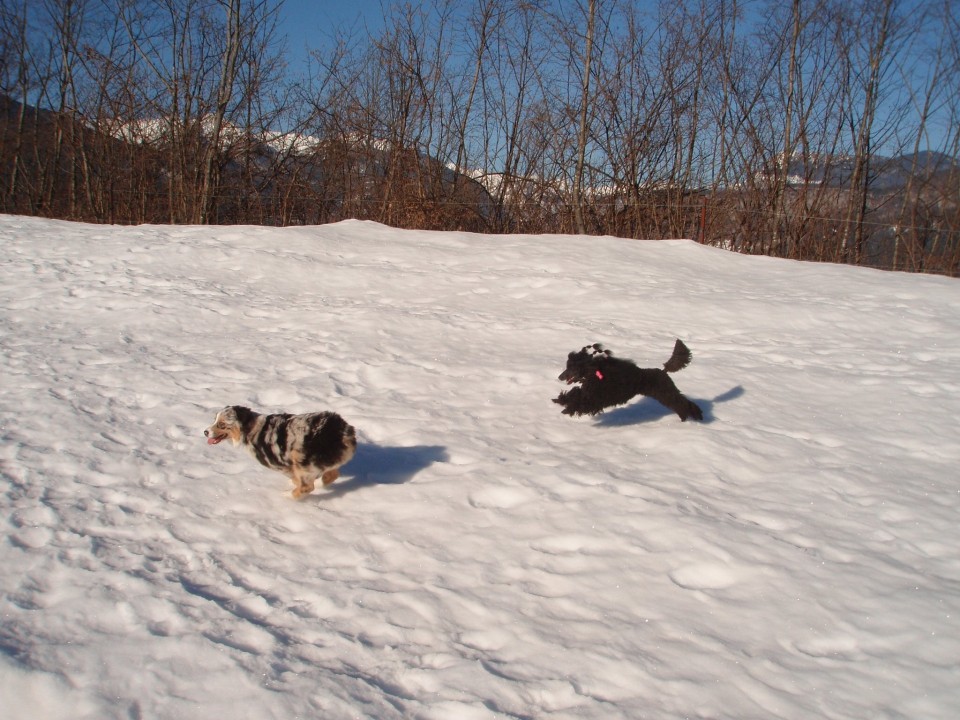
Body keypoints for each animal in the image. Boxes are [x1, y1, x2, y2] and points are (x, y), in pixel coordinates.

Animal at [552, 338, 700, 420]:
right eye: (567, 367)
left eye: (571, 368)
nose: (560, 376)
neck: (593, 372)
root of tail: (663, 371)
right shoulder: (588, 392)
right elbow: (574, 394)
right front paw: (559, 400)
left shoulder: (596, 398)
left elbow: (580, 402)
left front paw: (567, 409)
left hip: (665, 392)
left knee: (681, 403)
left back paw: (690, 416)